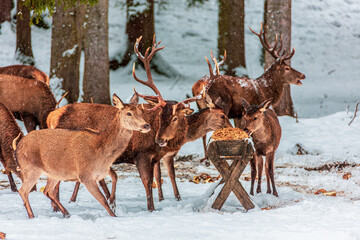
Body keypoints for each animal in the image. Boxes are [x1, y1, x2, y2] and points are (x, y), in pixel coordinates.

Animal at [14, 94, 150, 219]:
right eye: (129, 113)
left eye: (140, 112)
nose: (146, 125)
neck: (102, 152)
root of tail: (18, 147)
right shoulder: (85, 175)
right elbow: (102, 200)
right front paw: (114, 215)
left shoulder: (102, 171)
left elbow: (115, 177)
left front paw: (112, 201)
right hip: (31, 168)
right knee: (23, 191)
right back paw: (32, 216)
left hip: (54, 172)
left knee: (48, 190)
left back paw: (66, 213)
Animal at [193, 23, 306, 161]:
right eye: (287, 68)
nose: (303, 75)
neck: (265, 90)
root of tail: (198, 87)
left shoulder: (238, 114)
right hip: (223, 104)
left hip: (203, 106)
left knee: (203, 131)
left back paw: (206, 157)